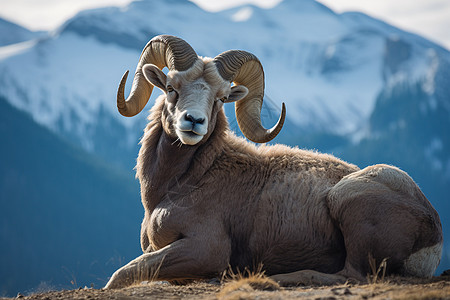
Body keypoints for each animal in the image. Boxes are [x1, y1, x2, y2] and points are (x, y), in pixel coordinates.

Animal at [103, 34, 442, 288]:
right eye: (171, 87)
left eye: (220, 98)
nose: (194, 122)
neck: (178, 187)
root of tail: (432, 238)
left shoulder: (204, 249)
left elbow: (122, 275)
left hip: (348, 201)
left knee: (352, 275)